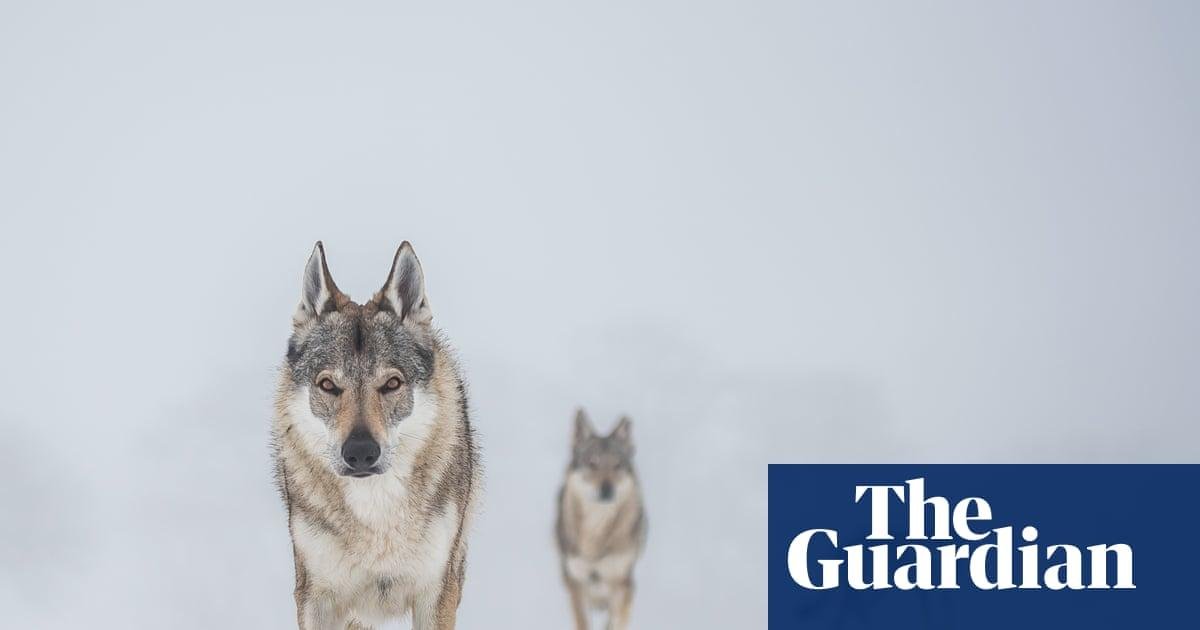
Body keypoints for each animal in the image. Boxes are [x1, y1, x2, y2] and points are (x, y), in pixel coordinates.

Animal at [272, 241, 480, 630]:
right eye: (328, 385)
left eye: (392, 383)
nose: (360, 453)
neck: (375, 512)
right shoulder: (315, 596)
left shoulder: (437, 591)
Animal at [555, 409, 648, 630]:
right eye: (592, 463)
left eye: (617, 465)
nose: (607, 489)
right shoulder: (576, 583)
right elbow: (582, 622)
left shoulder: (623, 584)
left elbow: (615, 622)